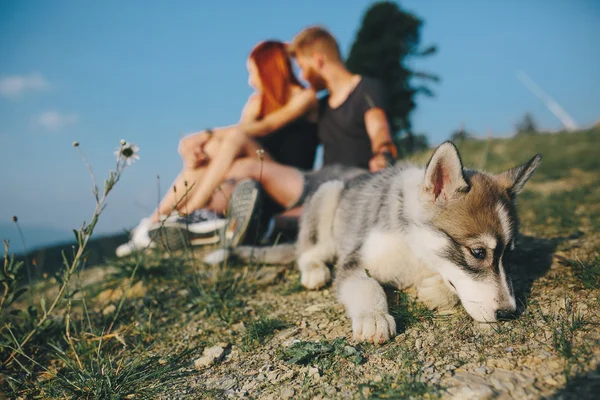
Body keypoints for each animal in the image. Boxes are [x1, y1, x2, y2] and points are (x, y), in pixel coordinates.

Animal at [298, 141, 540, 344]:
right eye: (478, 252)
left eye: (509, 255)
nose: (508, 313)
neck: (414, 248)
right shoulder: (355, 260)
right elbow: (366, 285)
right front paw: (373, 316)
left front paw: (435, 290)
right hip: (329, 194)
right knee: (308, 251)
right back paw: (314, 271)